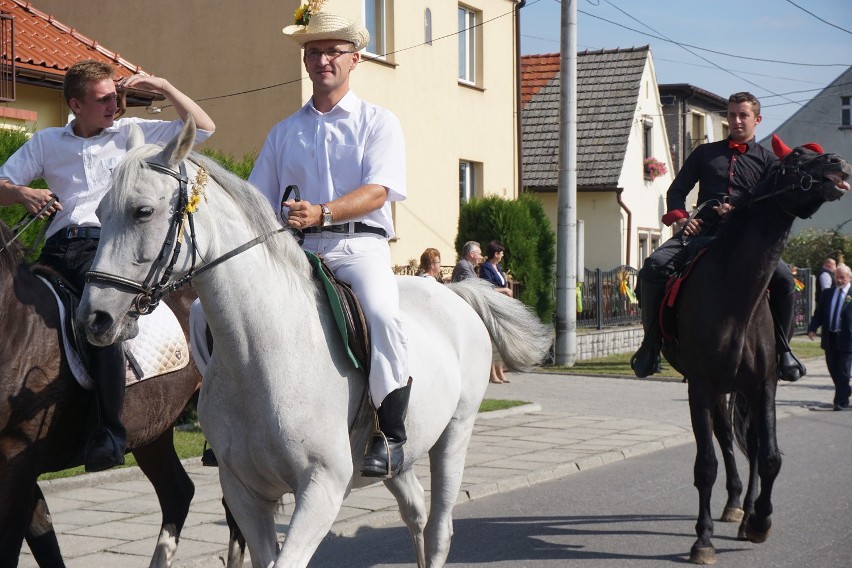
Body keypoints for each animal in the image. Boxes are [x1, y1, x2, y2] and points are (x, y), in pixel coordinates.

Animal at [76, 117, 548, 564]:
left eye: (142, 211)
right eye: (100, 210)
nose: (93, 319)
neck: (261, 355)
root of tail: (453, 293)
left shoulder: (321, 488)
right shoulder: (244, 491)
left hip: (454, 436)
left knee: (438, 530)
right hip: (403, 460)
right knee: (414, 511)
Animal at [664, 140, 848, 564]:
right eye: (796, 157)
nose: (838, 161)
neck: (735, 297)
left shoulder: (764, 385)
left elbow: (770, 456)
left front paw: (760, 521)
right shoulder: (701, 387)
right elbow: (707, 464)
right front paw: (703, 540)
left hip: (743, 389)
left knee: (748, 443)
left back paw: (745, 511)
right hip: (718, 389)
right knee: (725, 439)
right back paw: (733, 505)